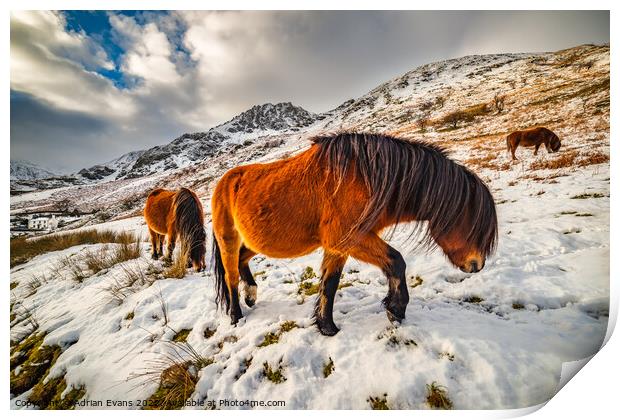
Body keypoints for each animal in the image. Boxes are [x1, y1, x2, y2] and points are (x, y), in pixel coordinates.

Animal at [211, 133, 496, 336]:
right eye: (473, 223)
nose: (477, 265)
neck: (365, 178)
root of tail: (224, 181)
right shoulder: (348, 238)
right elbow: (396, 261)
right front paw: (396, 309)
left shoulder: (339, 247)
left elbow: (330, 283)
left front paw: (326, 327)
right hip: (228, 240)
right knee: (230, 276)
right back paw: (236, 315)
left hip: (254, 242)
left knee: (242, 261)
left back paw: (251, 295)